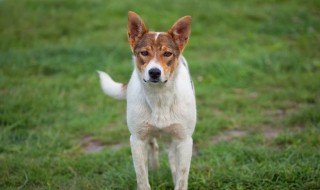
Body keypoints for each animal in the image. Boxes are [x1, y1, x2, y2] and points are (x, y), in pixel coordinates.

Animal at [97, 11, 196, 190]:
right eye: (144, 53)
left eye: (167, 54)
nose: (154, 72)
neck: (159, 98)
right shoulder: (137, 139)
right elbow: (142, 177)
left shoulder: (184, 140)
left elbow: (181, 177)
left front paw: (176, 178)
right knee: (154, 146)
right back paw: (156, 170)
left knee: (171, 156)